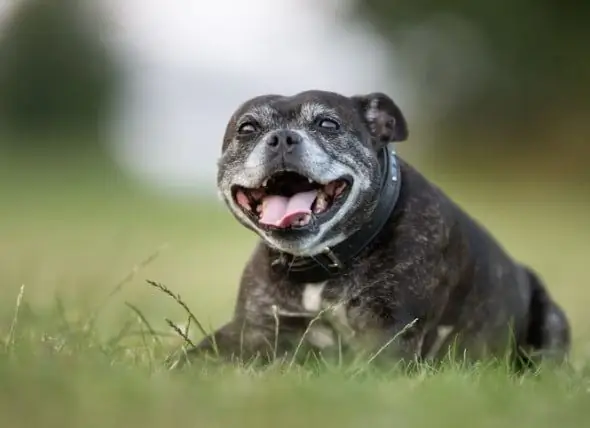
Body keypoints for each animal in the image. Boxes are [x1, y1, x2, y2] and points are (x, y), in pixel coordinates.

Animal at [177, 91, 572, 372]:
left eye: (328, 124)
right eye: (247, 129)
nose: (283, 138)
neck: (323, 263)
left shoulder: (388, 336)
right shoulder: (253, 328)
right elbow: (191, 358)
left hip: (550, 322)